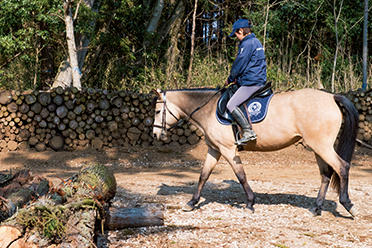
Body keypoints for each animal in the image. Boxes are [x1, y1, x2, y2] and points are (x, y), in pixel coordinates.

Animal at [153, 87, 358, 217]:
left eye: (156, 111)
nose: (155, 134)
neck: (209, 109)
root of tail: (332, 97)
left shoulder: (228, 149)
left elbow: (241, 176)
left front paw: (250, 203)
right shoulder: (214, 149)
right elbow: (203, 175)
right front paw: (191, 203)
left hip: (322, 146)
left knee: (342, 167)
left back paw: (348, 204)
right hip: (317, 147)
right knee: (326, 174)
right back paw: (317, 208)